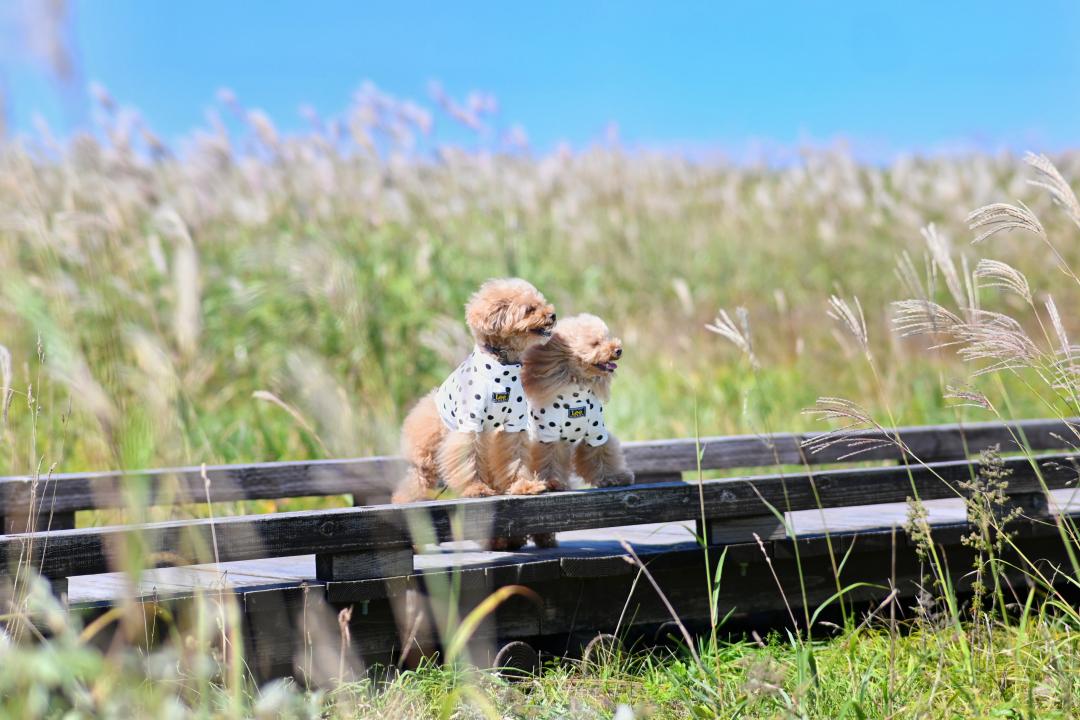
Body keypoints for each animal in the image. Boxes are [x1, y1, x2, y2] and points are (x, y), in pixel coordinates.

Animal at [393, 278, 557, 518]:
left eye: (543, 303)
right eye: (530, 309)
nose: (553, 315)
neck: (502, 366)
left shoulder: (515, 425)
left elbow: (516, 458)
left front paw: (524, 485)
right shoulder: (469, 424)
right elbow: (468, 460)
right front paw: (476, 489)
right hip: (429, 451)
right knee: (417, 477)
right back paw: (405, 500)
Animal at [520, 313, 630, 546]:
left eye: (607, 338)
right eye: (595, 343)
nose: (618, 349)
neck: (577, 390)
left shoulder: (597, 433)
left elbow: (603, 455)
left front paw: (614, 478)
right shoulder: (547, 436)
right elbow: (547, 461)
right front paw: (552, 483)